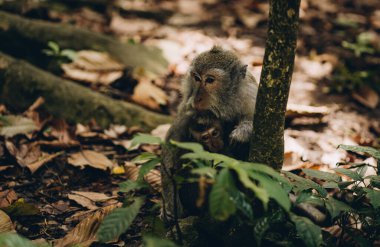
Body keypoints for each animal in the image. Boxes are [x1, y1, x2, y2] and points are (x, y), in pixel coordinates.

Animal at [162, 45, 260, 223]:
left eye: (210, 80)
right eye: (196, 78)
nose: (197, 98)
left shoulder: (251, 98)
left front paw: (242, 132)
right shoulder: (187, 108)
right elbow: (172, 145)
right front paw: (169, 204)